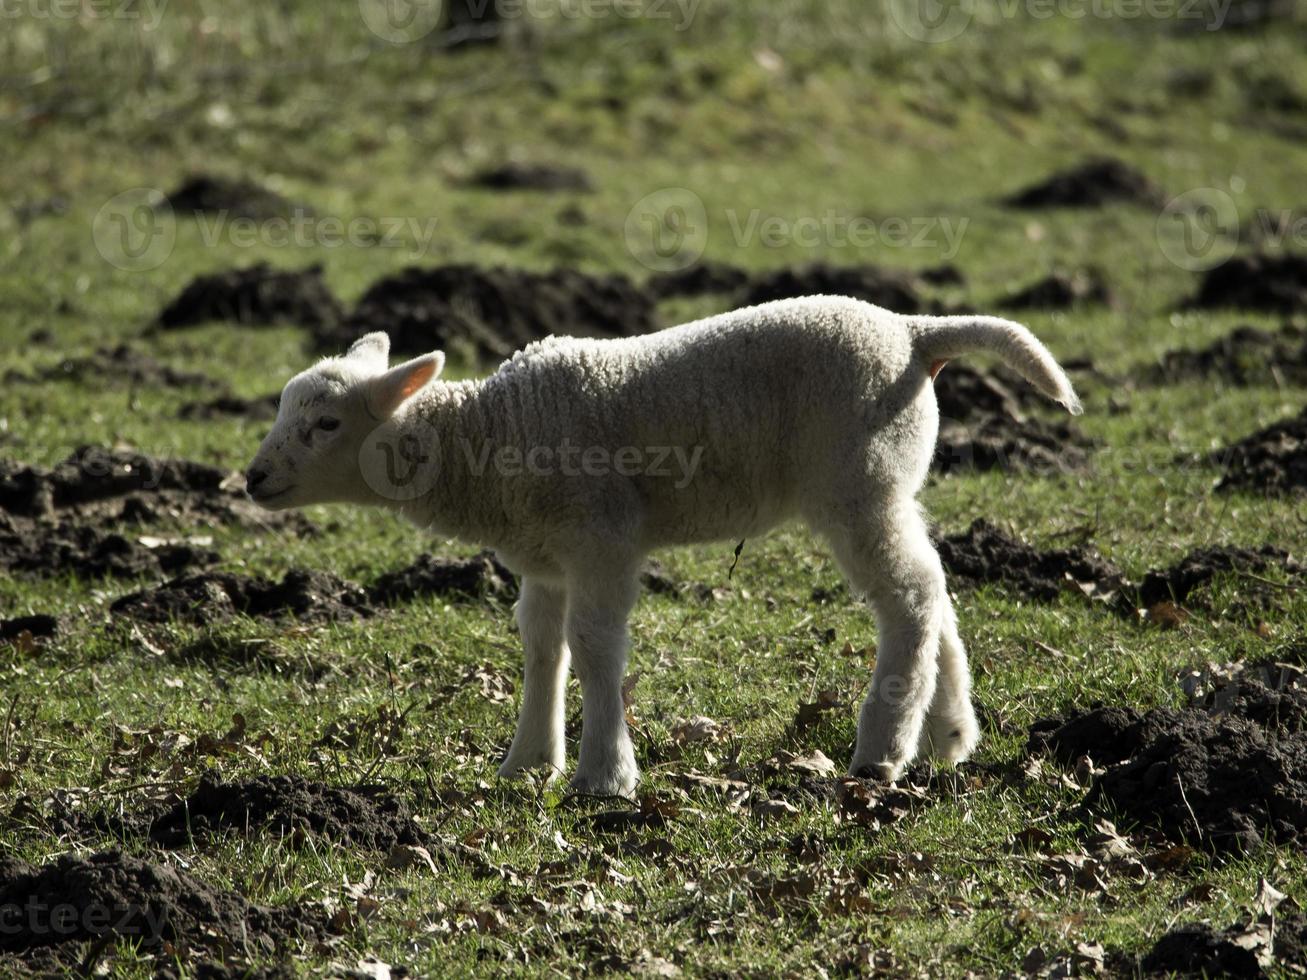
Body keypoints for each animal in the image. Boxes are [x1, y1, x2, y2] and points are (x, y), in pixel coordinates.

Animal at [247, 294, 1082, 799]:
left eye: (326, 425)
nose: (252, 478)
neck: (485, 438)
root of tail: (913, 332)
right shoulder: (544, 556)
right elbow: (543, 646)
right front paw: (528, 763)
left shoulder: (601, 538)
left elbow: (595, 646)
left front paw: (603, 776)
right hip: (889, 484)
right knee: (933, 586)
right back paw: (949, 735)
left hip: (857, 480)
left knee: (906, 599)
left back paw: (881, 750)